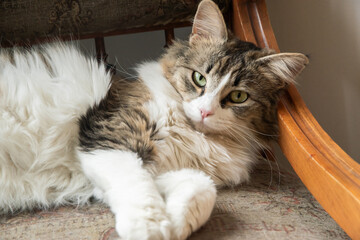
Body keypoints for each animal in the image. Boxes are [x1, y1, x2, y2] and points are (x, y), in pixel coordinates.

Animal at [0, 0, 310, 240]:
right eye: (199, 78)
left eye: (238, 96)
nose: (205, 111)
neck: (190, 133)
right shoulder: (111, 137)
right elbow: (137, 187)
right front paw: (150, 228)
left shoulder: (159, 169)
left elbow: (202, 189)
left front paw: (175, 222)